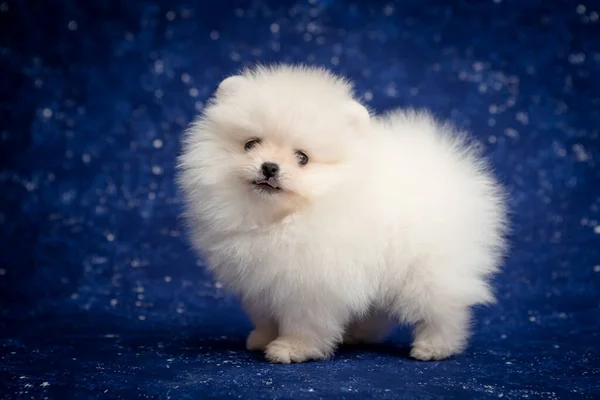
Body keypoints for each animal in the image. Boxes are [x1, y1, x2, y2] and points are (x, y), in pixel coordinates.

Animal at [177, 64, 506, 364]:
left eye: (302, 158)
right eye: (250, 144)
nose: (269, 167)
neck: (281, 220)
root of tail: (447, 165)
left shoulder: (312, 281)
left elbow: (304, 322)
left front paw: (291, 348)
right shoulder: (261, 281)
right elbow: (266, 315)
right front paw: (263, 338)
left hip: (428, 270)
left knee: (444, 309)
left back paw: (434, 346)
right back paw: (356, 334)